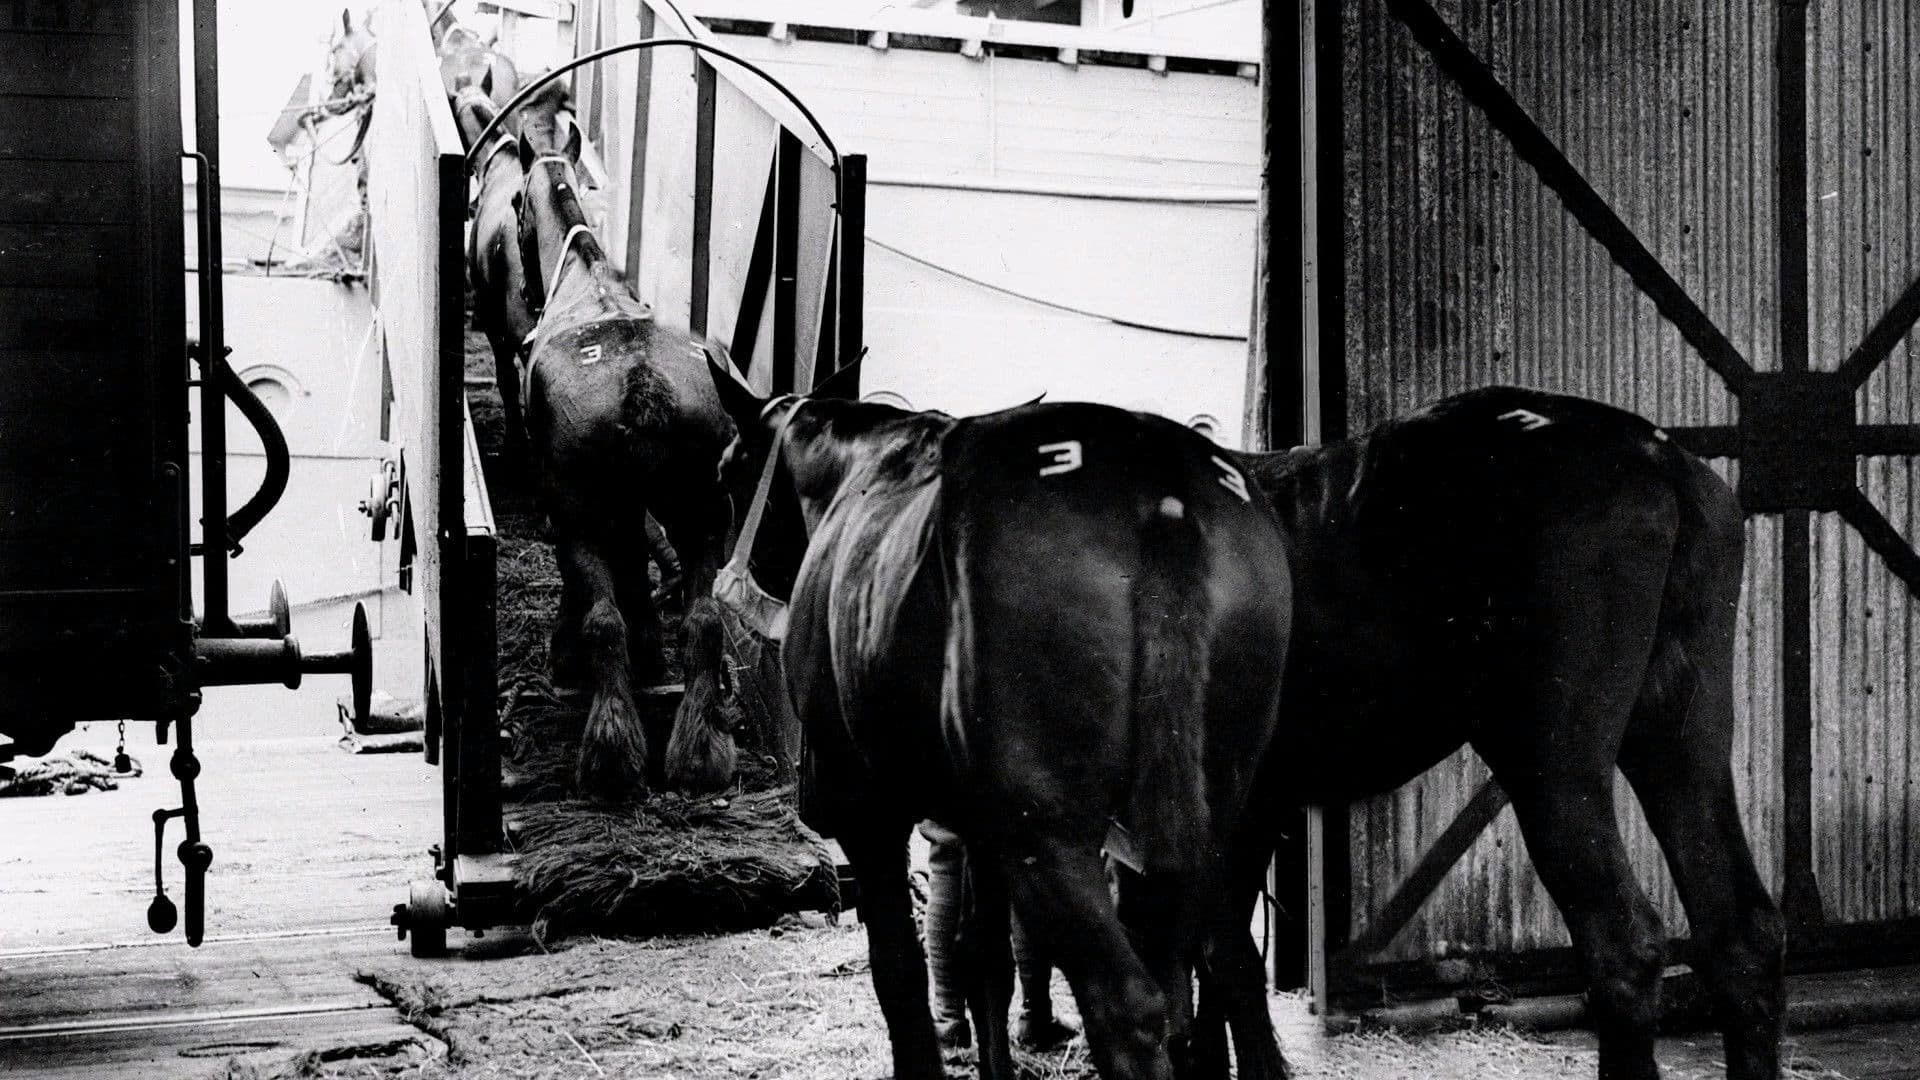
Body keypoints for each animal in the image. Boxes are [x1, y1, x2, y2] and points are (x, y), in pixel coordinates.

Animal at [515, 95, 737, 799]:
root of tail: (642, 376)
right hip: (702, 509)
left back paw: (610, 753)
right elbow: (639, 562)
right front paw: (650, 651)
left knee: (602, 617)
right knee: (704, 618)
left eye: (515, 204)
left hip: (583, 507)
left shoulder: (569, 500)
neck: (586, 278)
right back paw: (699, 750)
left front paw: (568, 656)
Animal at [705, 363, 1293, 1080]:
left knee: (1128, 1004)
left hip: (1050, 832)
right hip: (1213, 813)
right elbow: (983, 956)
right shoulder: (979, 824)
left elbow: (897, 971)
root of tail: (1160, 490)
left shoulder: (865, 813)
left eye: (726, 472)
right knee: (1226, 968)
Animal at [1192, 386, 1782, 1080]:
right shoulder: (1252, 807)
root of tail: (1657, 456)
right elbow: (1217, 956)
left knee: (1623, 940)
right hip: (1683, 730)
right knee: (1742, 931)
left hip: (1550, 759)